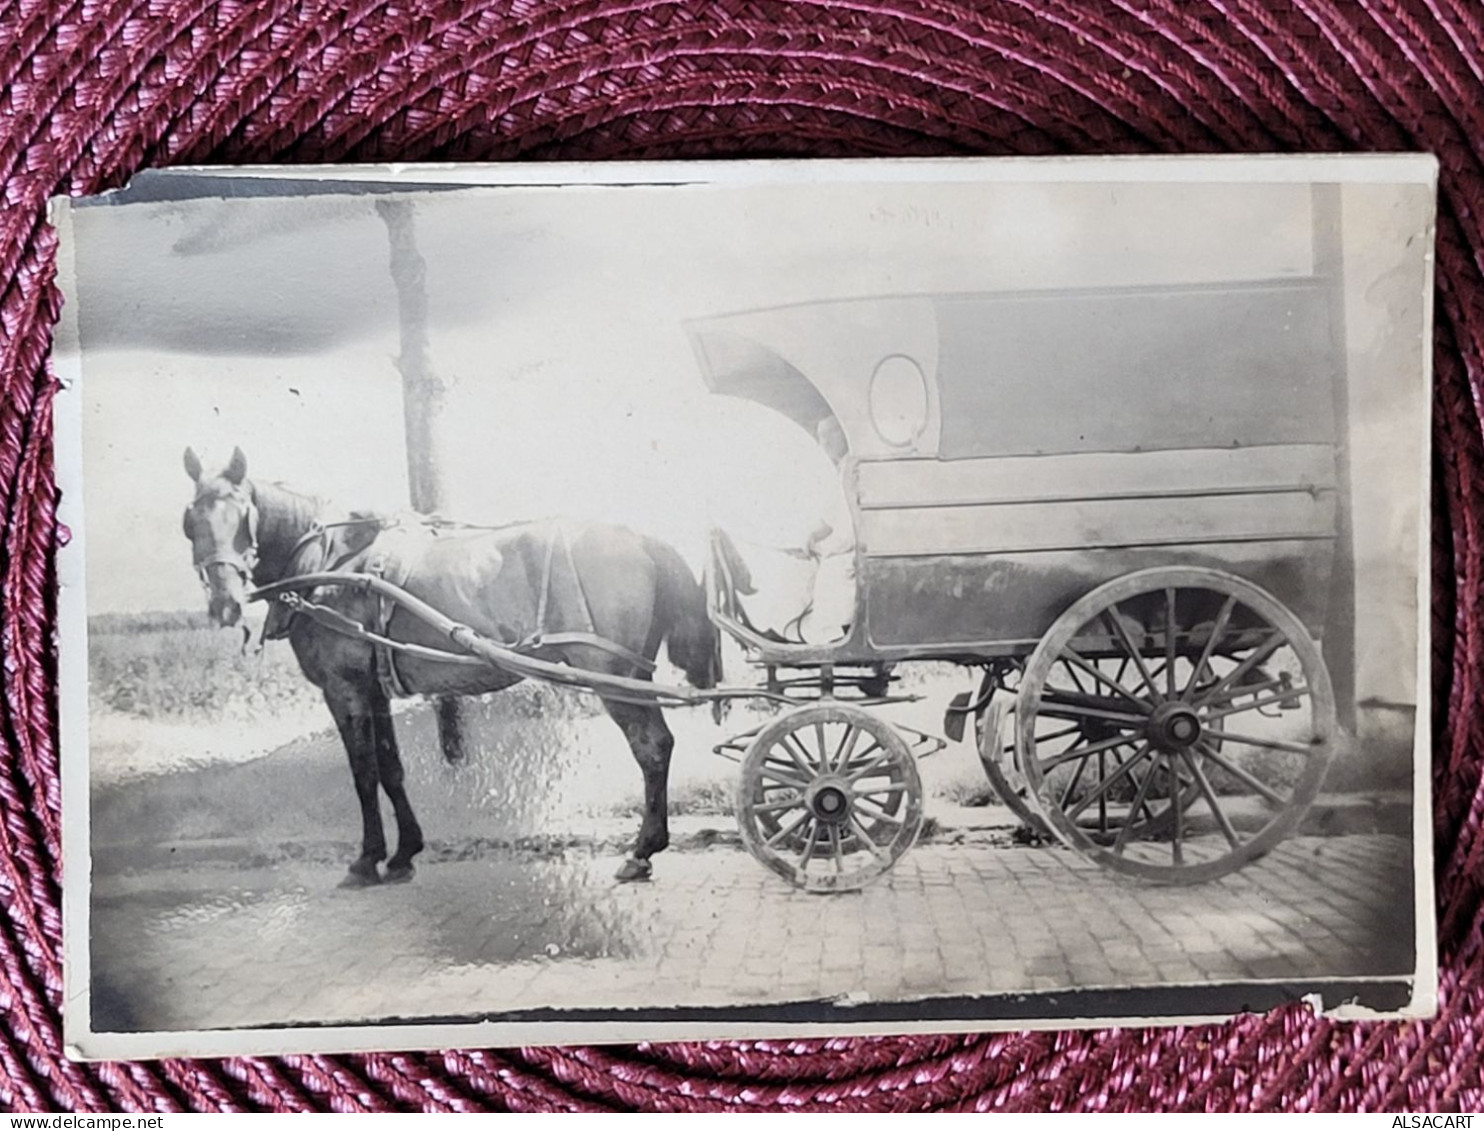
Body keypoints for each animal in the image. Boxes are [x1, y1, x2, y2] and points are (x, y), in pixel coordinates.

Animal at [179, 445, 718, 884]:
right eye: (191, 522)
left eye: (241, 516)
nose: (224, 605)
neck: (332, 566)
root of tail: (640, 537)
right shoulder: (375, 690)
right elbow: (391, 769)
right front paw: (403, 854)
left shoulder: (344, 688)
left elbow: (363, 773)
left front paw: (366, 860)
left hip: (613, 676)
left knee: (652, 747)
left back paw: (643, 850)